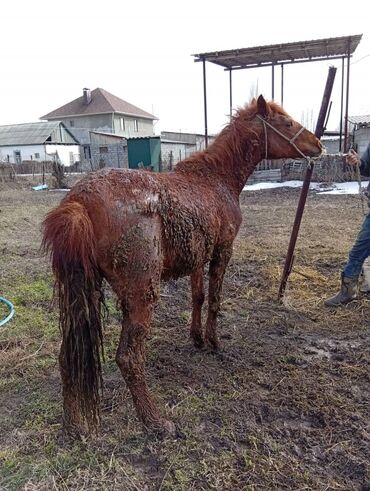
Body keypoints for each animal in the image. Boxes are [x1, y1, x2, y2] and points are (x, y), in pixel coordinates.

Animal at [42, 95, 320, 434]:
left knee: (68, 357)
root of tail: (78, 202)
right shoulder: (222, 252)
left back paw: (75, 427)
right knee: (129, 358)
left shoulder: (198, 257)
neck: (216, 179)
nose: (319, 145)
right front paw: (213, 342)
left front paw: (197, 338)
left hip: (84, 294)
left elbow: (197, 297)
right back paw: (155, 422)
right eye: (288, 123)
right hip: (141, 294)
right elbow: (214, 299)